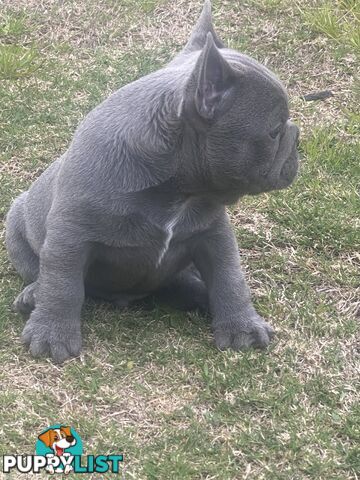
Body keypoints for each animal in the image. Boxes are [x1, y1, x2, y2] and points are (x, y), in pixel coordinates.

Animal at [5, 0, 298, 362]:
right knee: (42, 273)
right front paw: (51, 335)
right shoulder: (69, 235)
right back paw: (32, 294)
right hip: (16, 224)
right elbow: (63, 284)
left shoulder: (214, 234)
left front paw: (243, 327)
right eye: (274, 131)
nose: (296, 135)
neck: (178, 188)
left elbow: (229, 278)